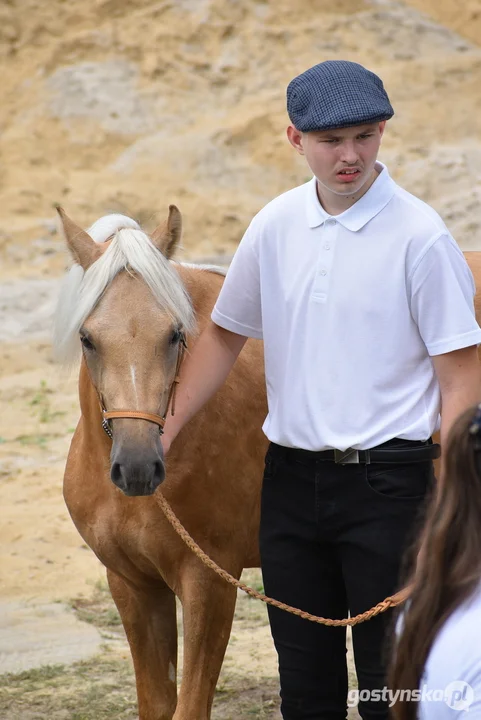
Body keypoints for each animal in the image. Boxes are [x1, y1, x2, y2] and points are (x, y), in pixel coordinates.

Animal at [55, 205, 270, 716]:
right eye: (87, 338)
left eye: (175, 334)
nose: (136, 467)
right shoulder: (133, 584)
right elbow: (155, 703)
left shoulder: (210, 582)